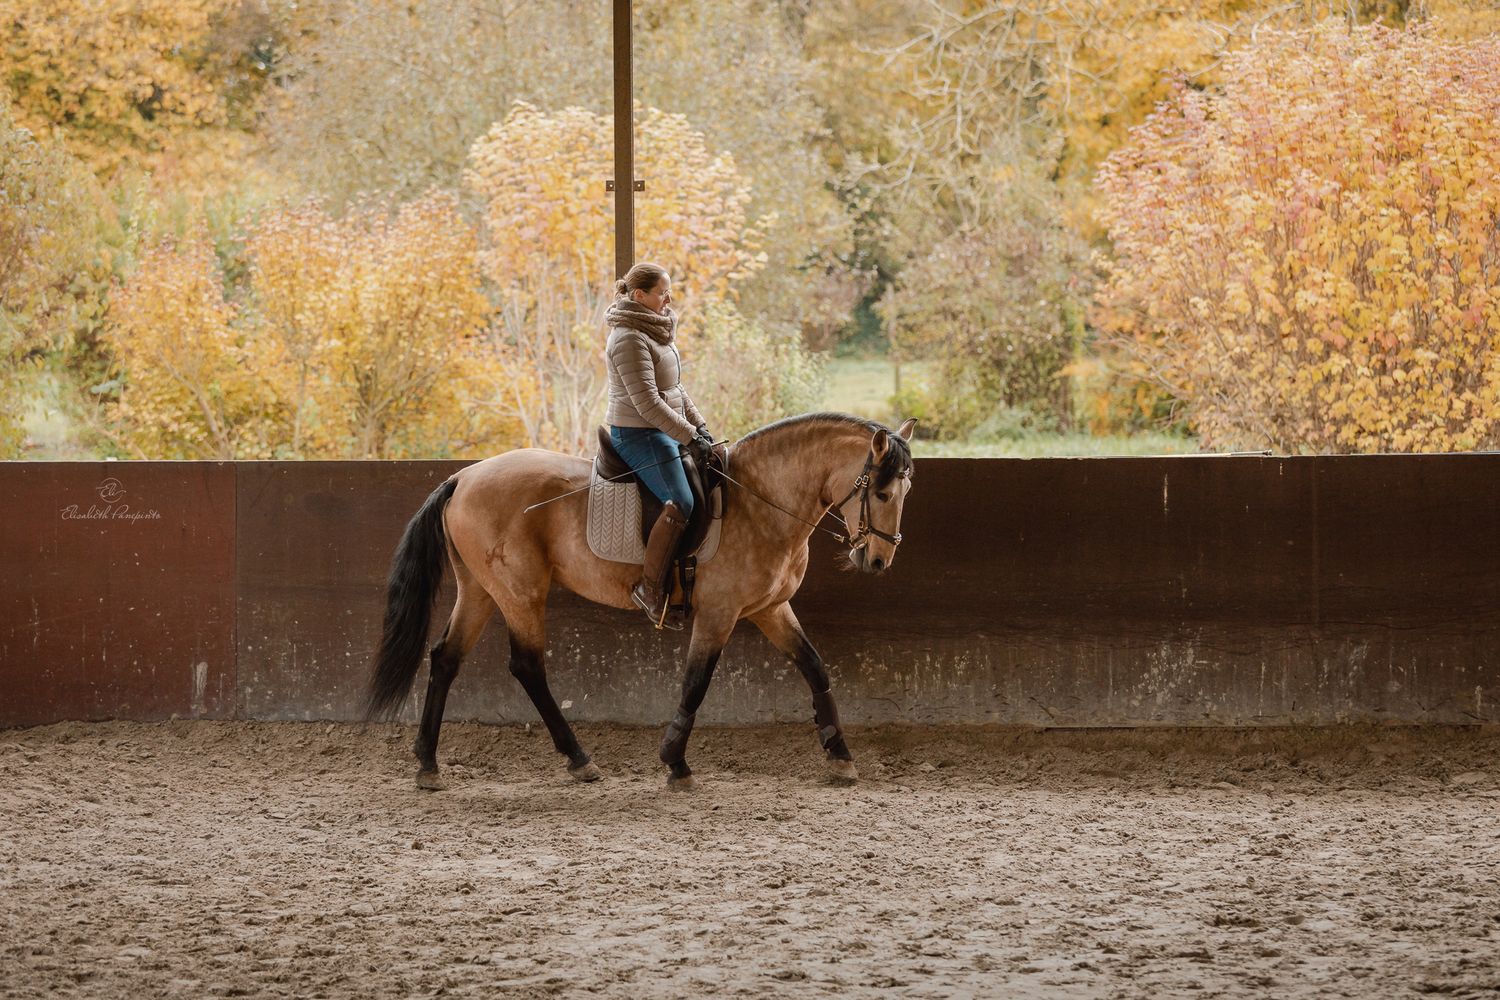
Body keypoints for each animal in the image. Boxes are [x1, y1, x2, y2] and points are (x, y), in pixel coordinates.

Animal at [365, 412, 916, 790]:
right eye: (883, 493)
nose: (878, 561)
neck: (761, 501)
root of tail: (463, 478)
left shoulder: (769, 609)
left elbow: (814, 667)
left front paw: (840, 754)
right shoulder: (719, 615)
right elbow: (696, 684)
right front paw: (676, 762)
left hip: (480, 590)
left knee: (446, 658)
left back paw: (429, 763)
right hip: (520, 591)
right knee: (526, 666)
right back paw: (579, 759)